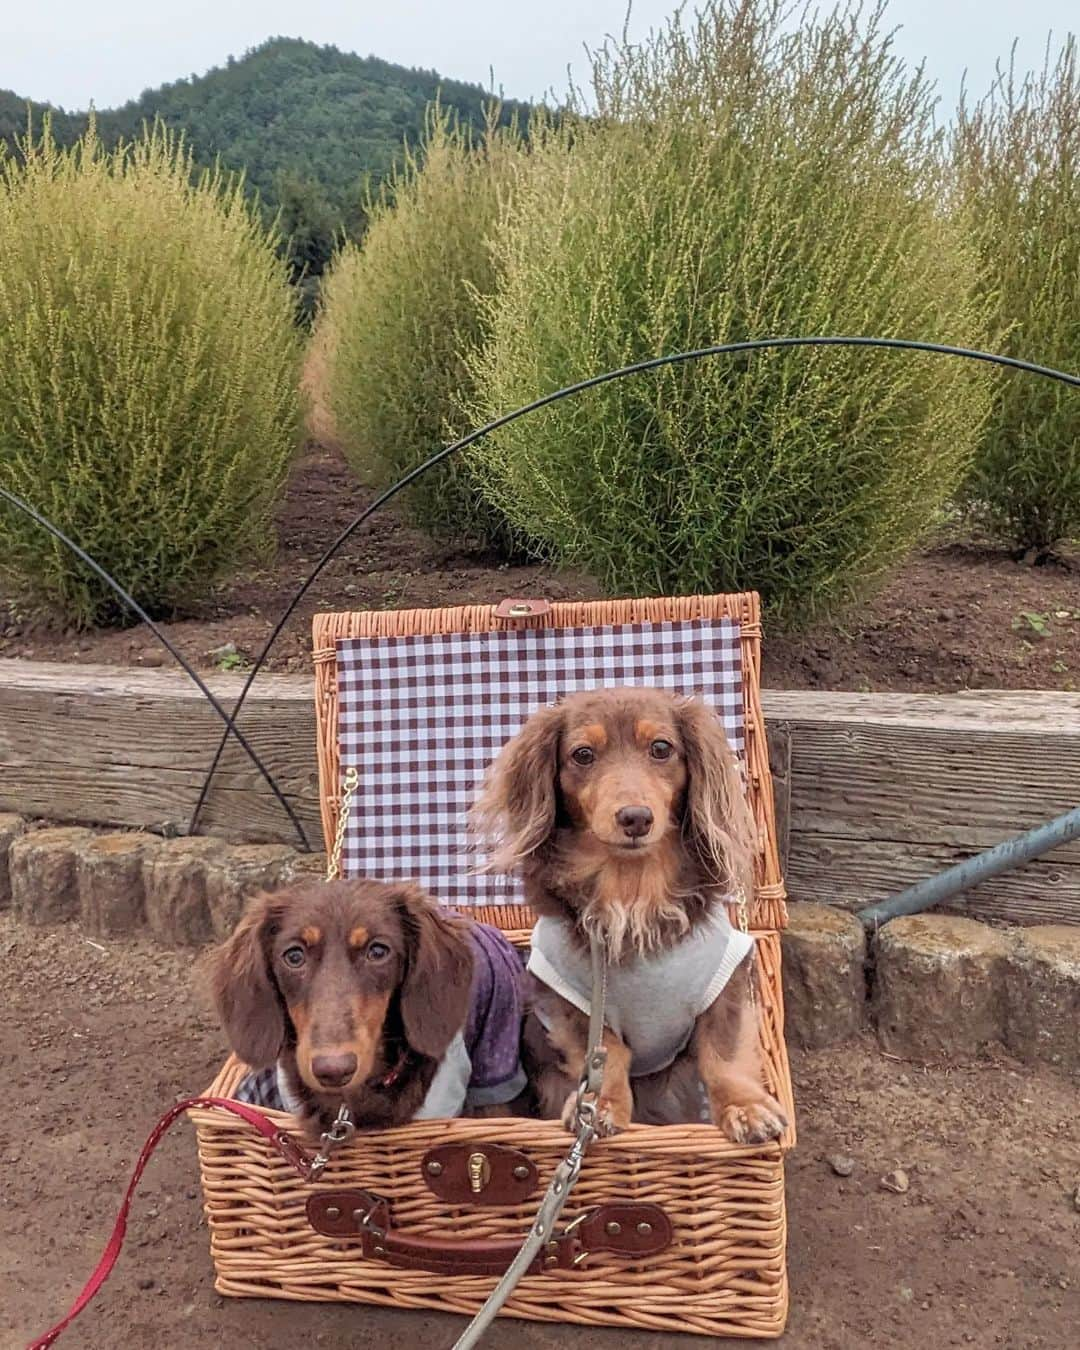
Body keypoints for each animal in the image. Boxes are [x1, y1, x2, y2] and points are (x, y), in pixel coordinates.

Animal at [472, 691, 783, 1144]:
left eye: (661, 748)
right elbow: (606, 1051)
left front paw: (746, 1108)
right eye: (583, 754)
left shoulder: (725, 985)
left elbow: (722, 1053)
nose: (635, 818)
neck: (632, 891)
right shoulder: (571, 997)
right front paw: (600, 1104)